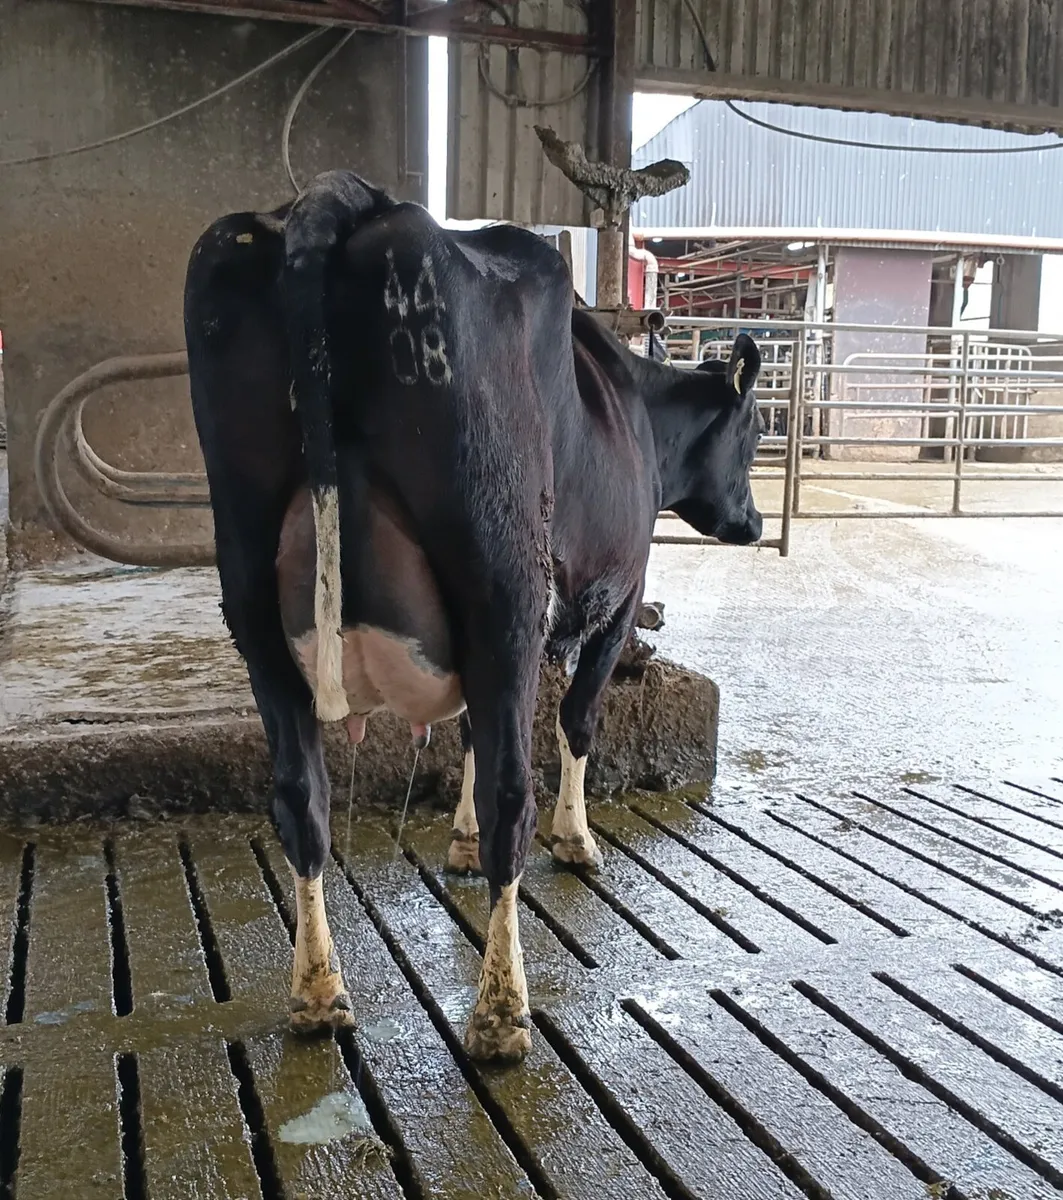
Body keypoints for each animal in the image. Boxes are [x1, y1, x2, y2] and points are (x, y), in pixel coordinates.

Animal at [185, 169, 763, 1065]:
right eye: (756, 432)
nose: (756, 523)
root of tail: (345, 197)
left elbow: (461, 732)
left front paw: (451, 840)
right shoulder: (617, 599)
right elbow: (575, 723)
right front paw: (577, 840)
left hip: (249, 590)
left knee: (299, 795)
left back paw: (318, 993)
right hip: (503, 585)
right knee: (508, 796)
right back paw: (500, 1012)